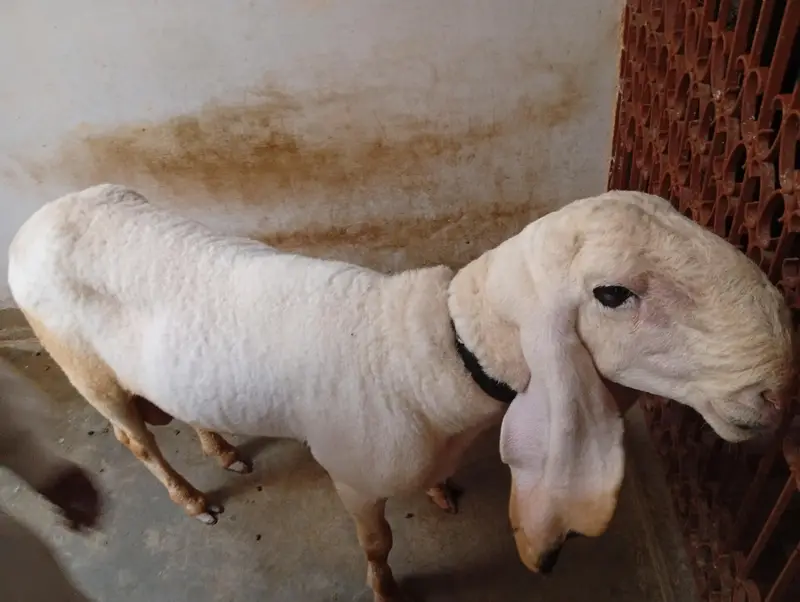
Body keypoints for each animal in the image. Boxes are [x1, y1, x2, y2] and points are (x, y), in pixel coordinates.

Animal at [6, 183, 793, 601]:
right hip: (84, 366)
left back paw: (221, 449)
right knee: (134, 436)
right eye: (612, 294)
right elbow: (378, 540)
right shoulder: (354, 477)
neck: (434, 353)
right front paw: (384, 586)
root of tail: (42, 217)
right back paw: (193, 497)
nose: (779, 389)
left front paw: (443, 491)